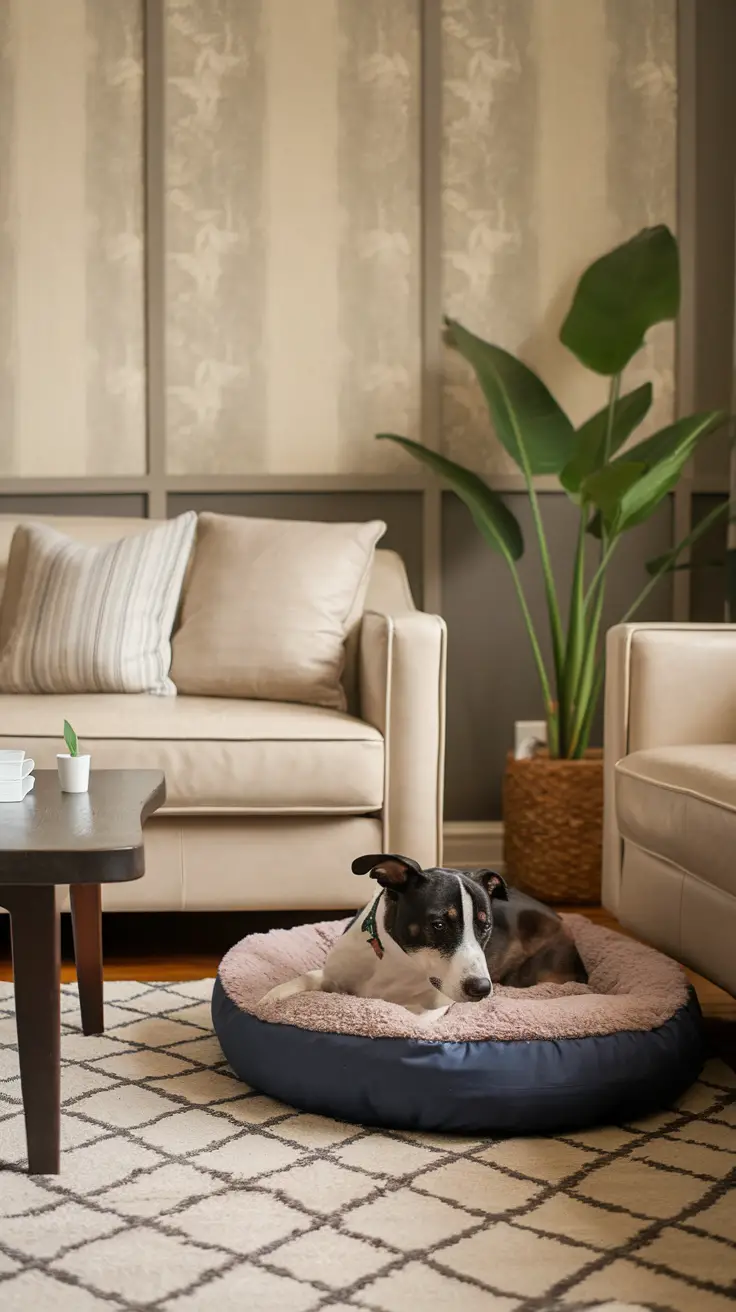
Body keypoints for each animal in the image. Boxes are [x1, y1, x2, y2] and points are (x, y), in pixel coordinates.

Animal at [261, 850, 587, 1023]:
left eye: (485, 926)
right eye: (439, 925)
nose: (482, 989)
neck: (396, 961)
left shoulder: (436, 1006)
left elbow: (412, 1016)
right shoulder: (334, 976)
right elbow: (306, 977)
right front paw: (270, 999)